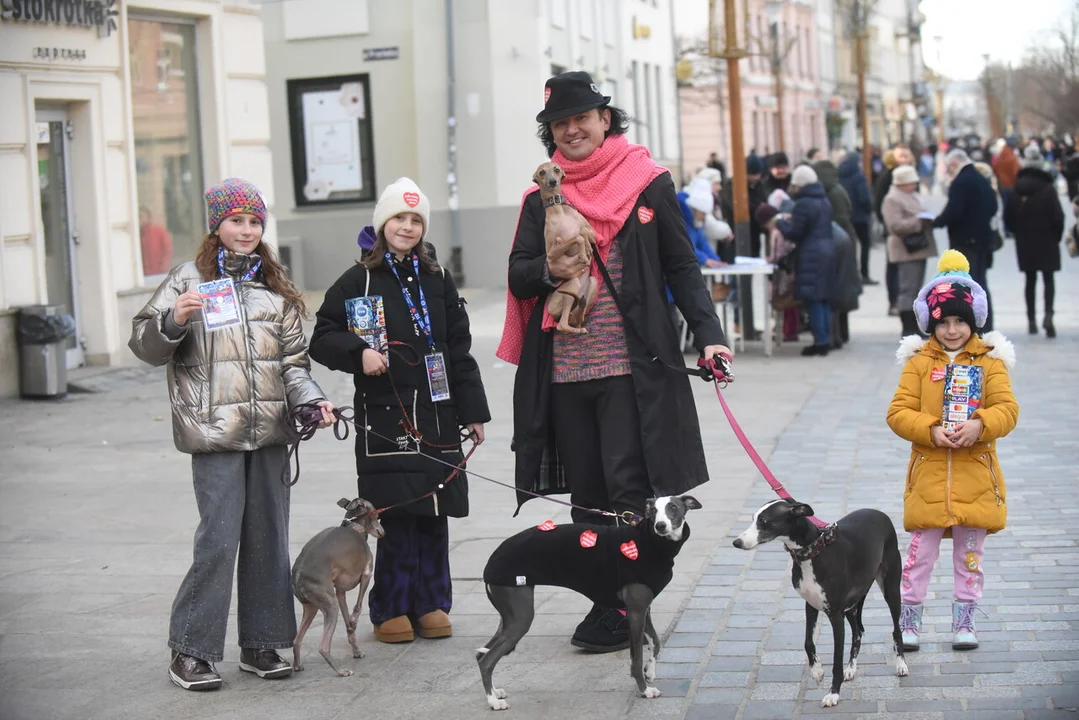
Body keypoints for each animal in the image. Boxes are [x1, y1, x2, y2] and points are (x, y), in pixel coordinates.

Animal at [533, 161, 599, 334]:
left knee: (576, 318)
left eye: (556, 169)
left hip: (593, 282)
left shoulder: (594, 235)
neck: (559, 209)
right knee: (562, 325)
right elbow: (577, 237)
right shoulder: (551, 252)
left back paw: (580, 316)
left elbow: (583, 232)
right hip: (572, 285)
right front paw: (583, 254)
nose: (553, 182)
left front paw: (587, 250)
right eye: (542, 172)